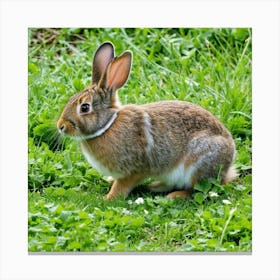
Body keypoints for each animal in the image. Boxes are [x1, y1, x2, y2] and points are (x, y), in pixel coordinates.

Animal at [58, 41, 237, 199]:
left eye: (84, 108)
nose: (61, 126)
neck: (108, 125)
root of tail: (229, 162)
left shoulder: (133, 170)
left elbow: (122, 185)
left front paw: (108, 198)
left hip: (198, 162)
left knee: (199, 189)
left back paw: (175, 195)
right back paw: (154, 186)